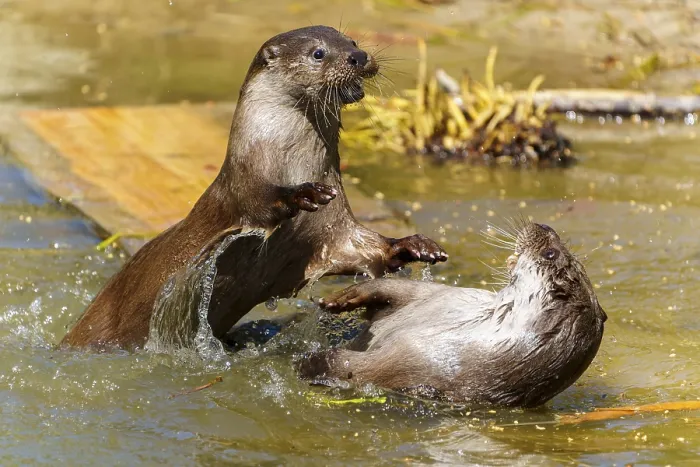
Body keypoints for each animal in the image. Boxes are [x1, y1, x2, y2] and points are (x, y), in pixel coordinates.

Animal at [62, 25, 447, 349]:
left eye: (352, 41)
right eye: (318, 53)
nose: (360, 56)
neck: (289, 161)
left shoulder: (330, 228)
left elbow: (361, 248)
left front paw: (414, 246)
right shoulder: (245, 185)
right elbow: (260, 203)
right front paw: (305, 193)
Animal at [298, 222, 606, 408]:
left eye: (551, 253)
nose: (544, 225)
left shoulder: (415, 359)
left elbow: (354, 369)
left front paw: (311, 363)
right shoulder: (443, 297)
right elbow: (392, 289)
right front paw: (340, 299)